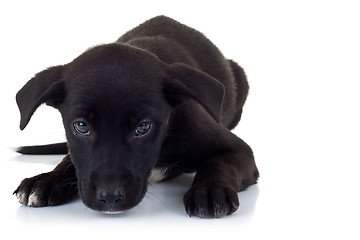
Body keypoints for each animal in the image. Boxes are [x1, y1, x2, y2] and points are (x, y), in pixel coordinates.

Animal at [13, 15, 256, 218]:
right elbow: (69, 159)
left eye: (143, 127)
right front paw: (46, 180)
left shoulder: (237, 149)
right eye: (81, 126)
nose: (110, 197)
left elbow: (218, 164)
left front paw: (209, 190)